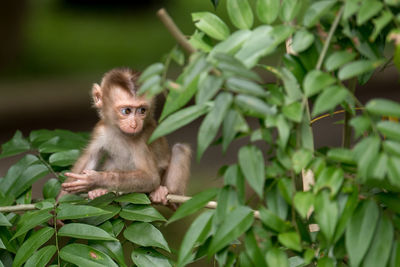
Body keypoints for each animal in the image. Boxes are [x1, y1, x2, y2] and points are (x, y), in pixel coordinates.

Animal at [58, 67, 191, 205]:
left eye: (142, 110)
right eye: (126, 111)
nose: (134, 125)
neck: (119, 132)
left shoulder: (140, 140)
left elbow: (151, 178)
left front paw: (95, 179)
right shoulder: (100, 130)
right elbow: (90, 158)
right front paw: (60, 201)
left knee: (180, 149)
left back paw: (164, 193)